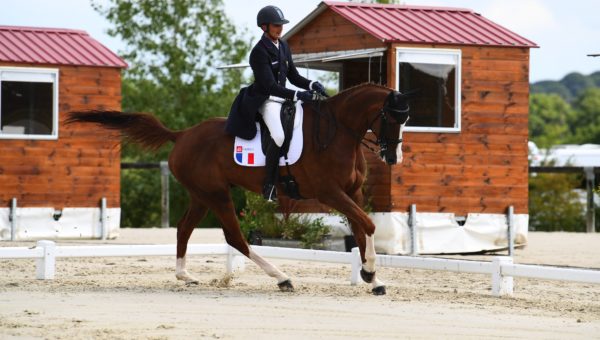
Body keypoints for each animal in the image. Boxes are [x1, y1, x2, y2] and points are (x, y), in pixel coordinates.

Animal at [68, 82, 410, 294]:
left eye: (406, 119)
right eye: (390, 118)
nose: (393, 157)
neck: (338, 133)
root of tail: (182, 135)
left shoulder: (352, 193)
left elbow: (361, 229)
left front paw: (372, 278)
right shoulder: (330, 193)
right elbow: (367, 225)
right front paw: (369, 272)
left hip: (202, 196)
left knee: (184, 228)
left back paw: (185, 275)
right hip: (217, 194)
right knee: (234, 237)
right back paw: (282, 278)